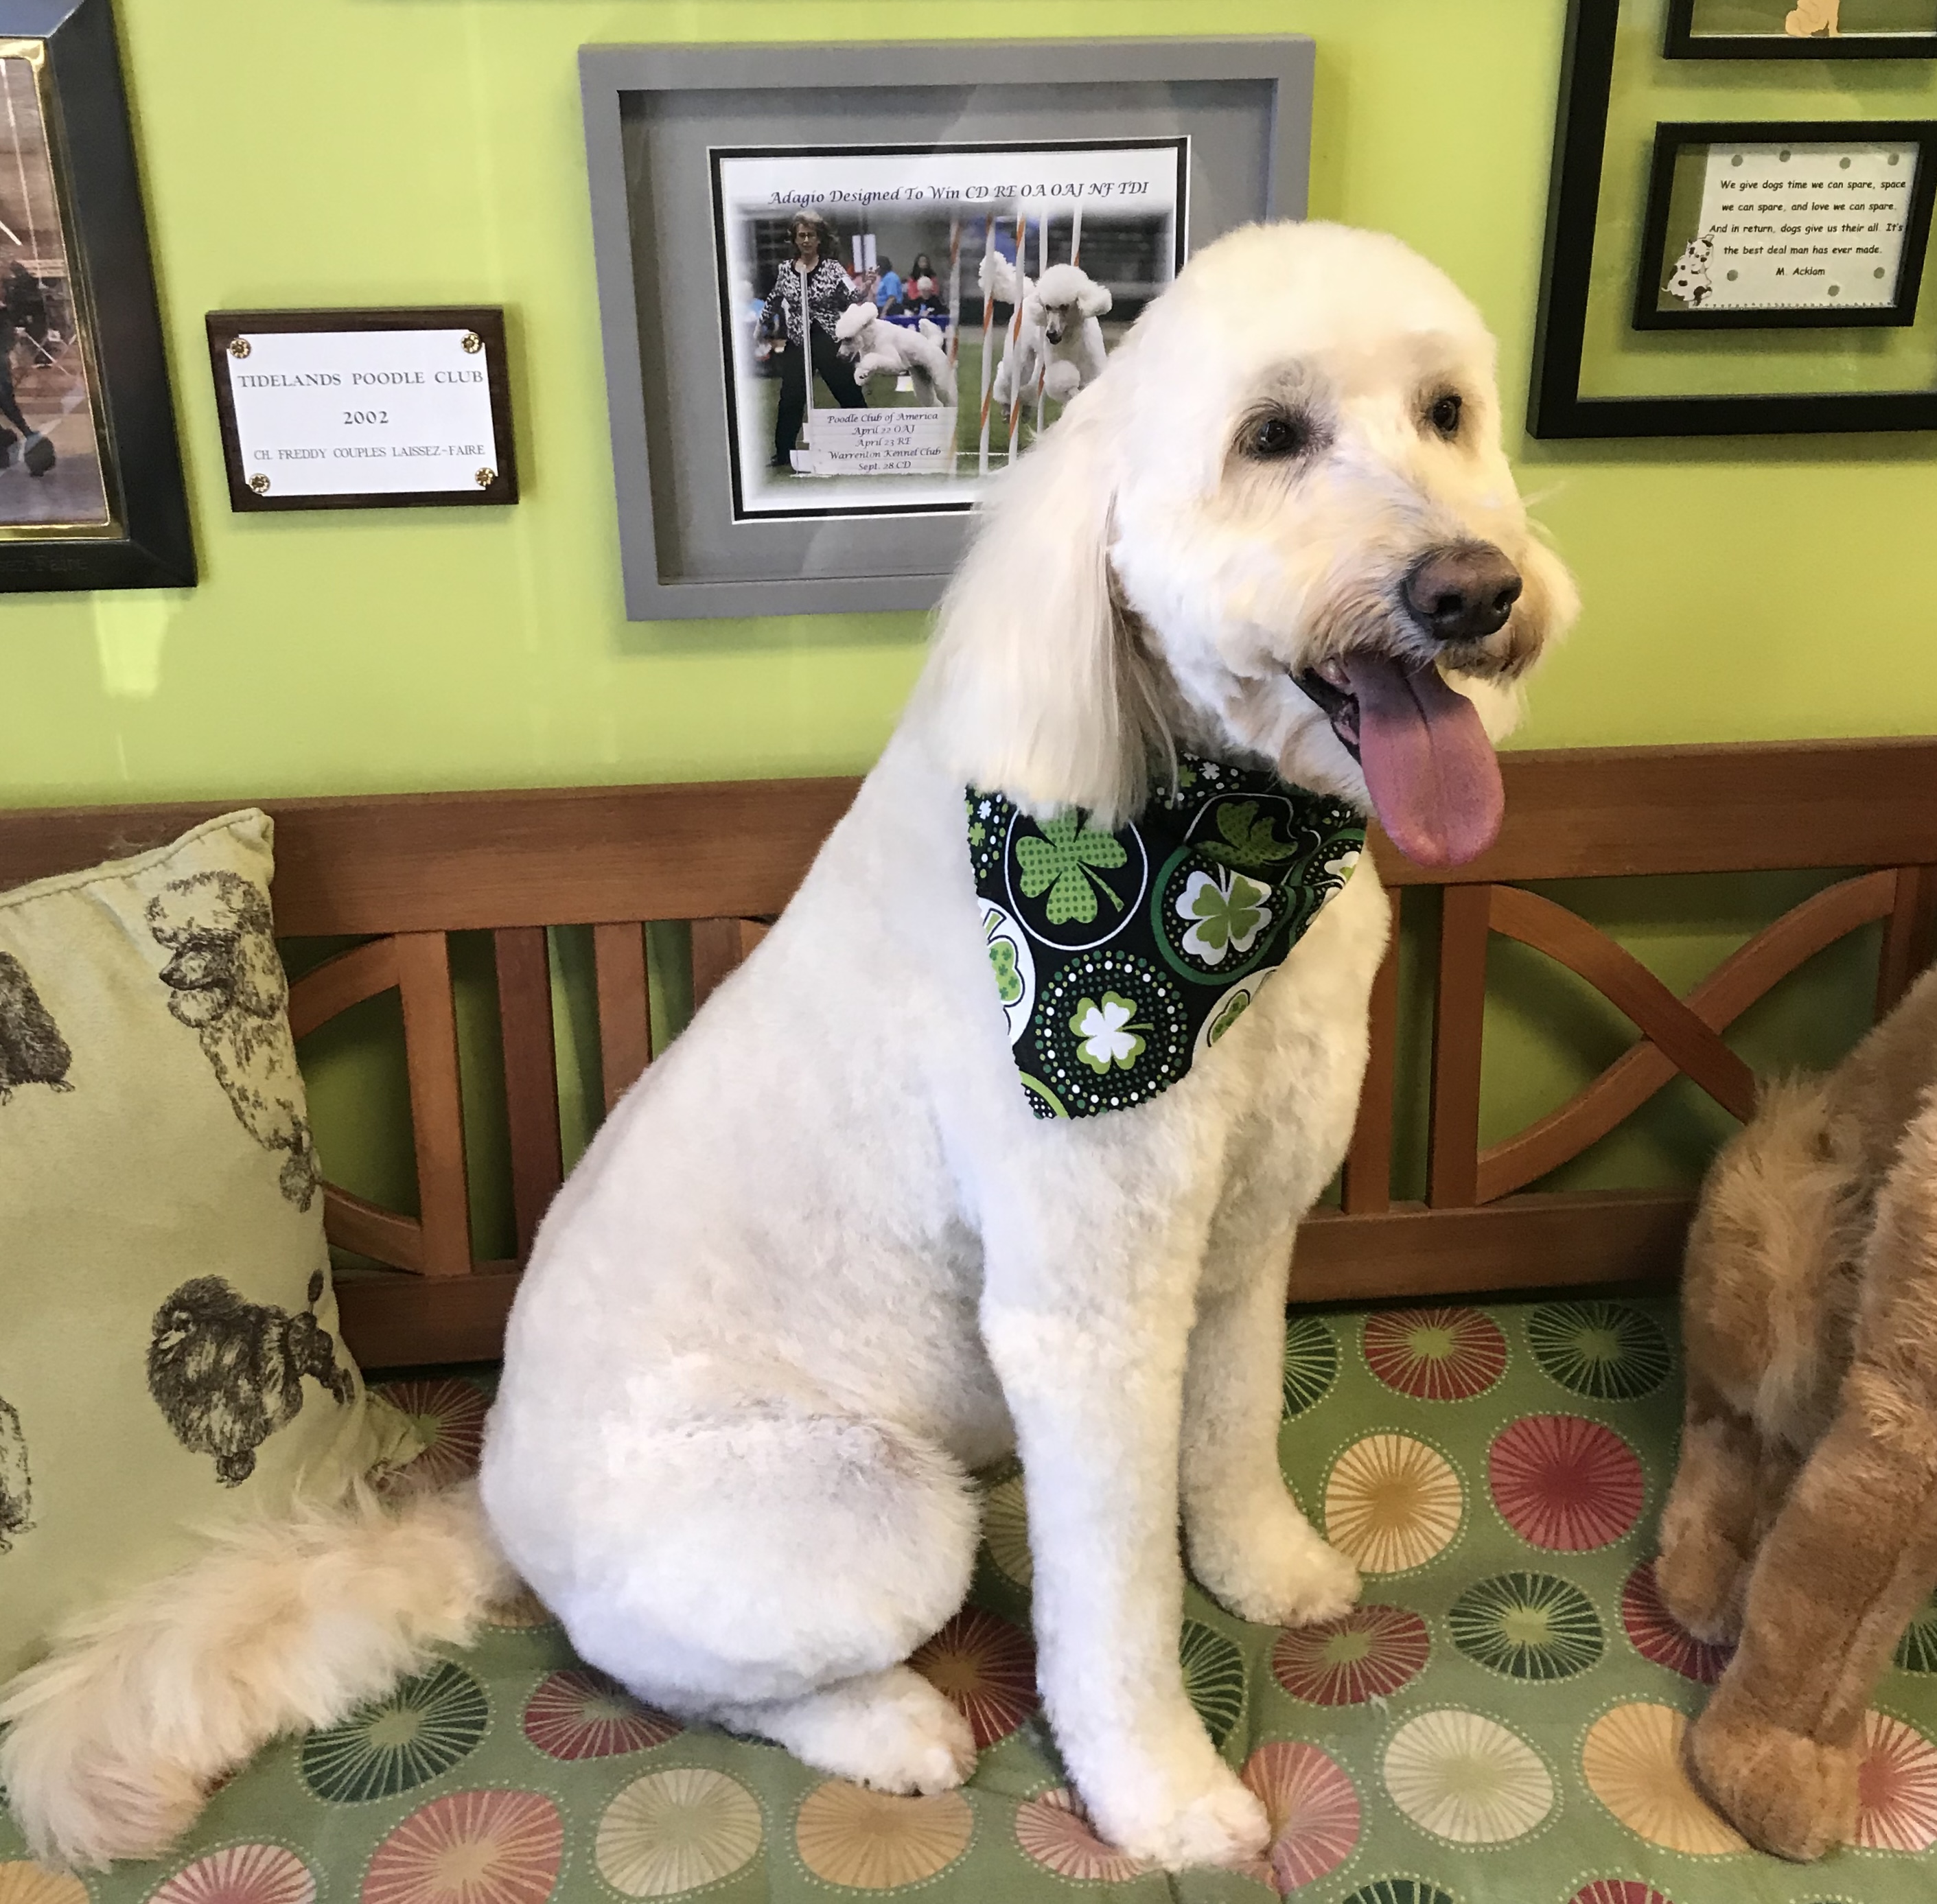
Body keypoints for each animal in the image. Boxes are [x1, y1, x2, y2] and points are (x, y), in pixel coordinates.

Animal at [828, 302, 957, 404]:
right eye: (840, 339)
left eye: (848, 338)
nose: (839, 356)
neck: (873, 336)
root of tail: (934, 344)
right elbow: (867, 365)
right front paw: (861, 377)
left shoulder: (897, 364)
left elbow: (872, 359)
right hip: (922, 380)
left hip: (940, 379)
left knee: (950, 399)